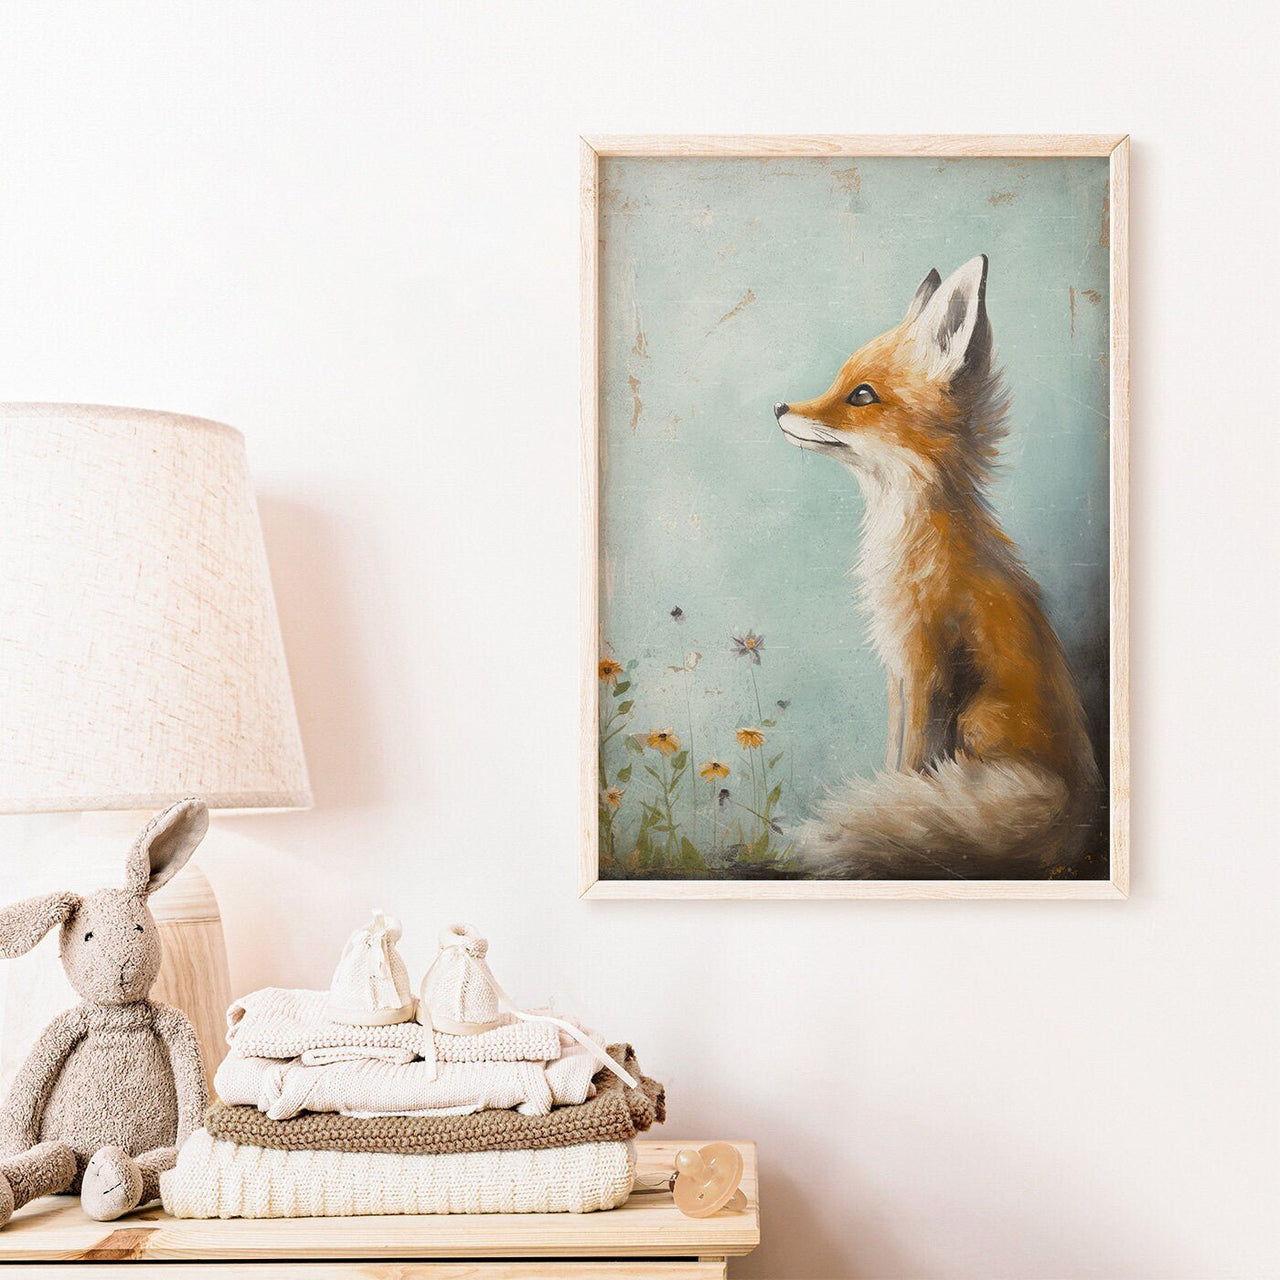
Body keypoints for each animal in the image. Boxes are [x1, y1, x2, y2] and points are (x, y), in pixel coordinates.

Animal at [775, 254, 1102, 879]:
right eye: (839, 383)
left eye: (861, 396)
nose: (779, 407)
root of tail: (1079, 816)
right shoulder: (898, 672)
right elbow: (895, 760)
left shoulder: (927, 660)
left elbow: (910, 765)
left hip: (979, 716)